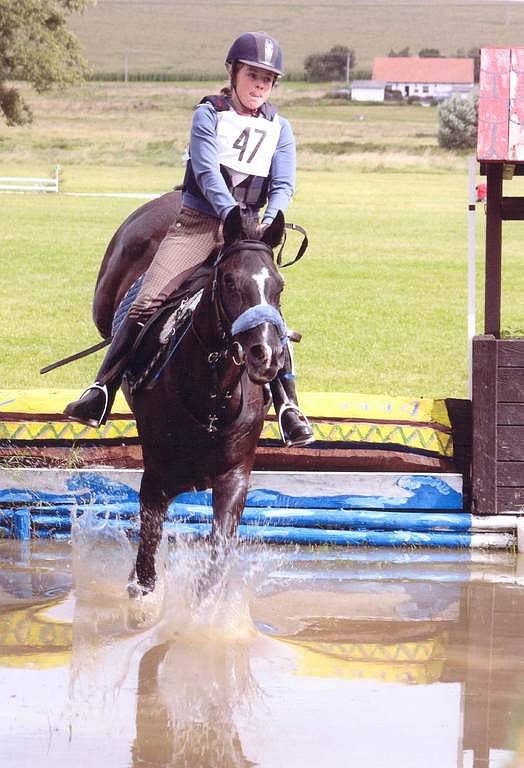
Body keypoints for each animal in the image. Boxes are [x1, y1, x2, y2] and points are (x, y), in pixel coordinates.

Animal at [91, 195, 286, 592]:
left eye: (278, 286)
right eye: (229, 281)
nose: (266, 354)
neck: (211, 398)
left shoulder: (233, 479)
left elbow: (214, 566)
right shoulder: (156, 480)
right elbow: (145, 573)